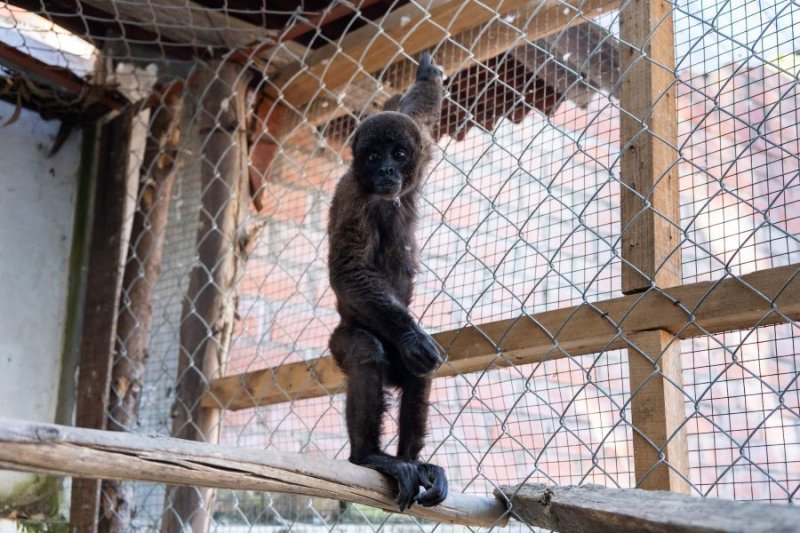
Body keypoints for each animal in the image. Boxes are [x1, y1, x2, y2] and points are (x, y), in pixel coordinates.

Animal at [327, 52, 447, 511]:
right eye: (374, 156)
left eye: (398, 152)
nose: (389, 170)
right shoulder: (353, 196)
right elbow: (347, 272)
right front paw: (413, 335)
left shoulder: (421, 148)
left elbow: (421, 113)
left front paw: (428, 76)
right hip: (339, 341)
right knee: (365, 349)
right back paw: (369, 456)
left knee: (416, 374)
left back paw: (412, 460)